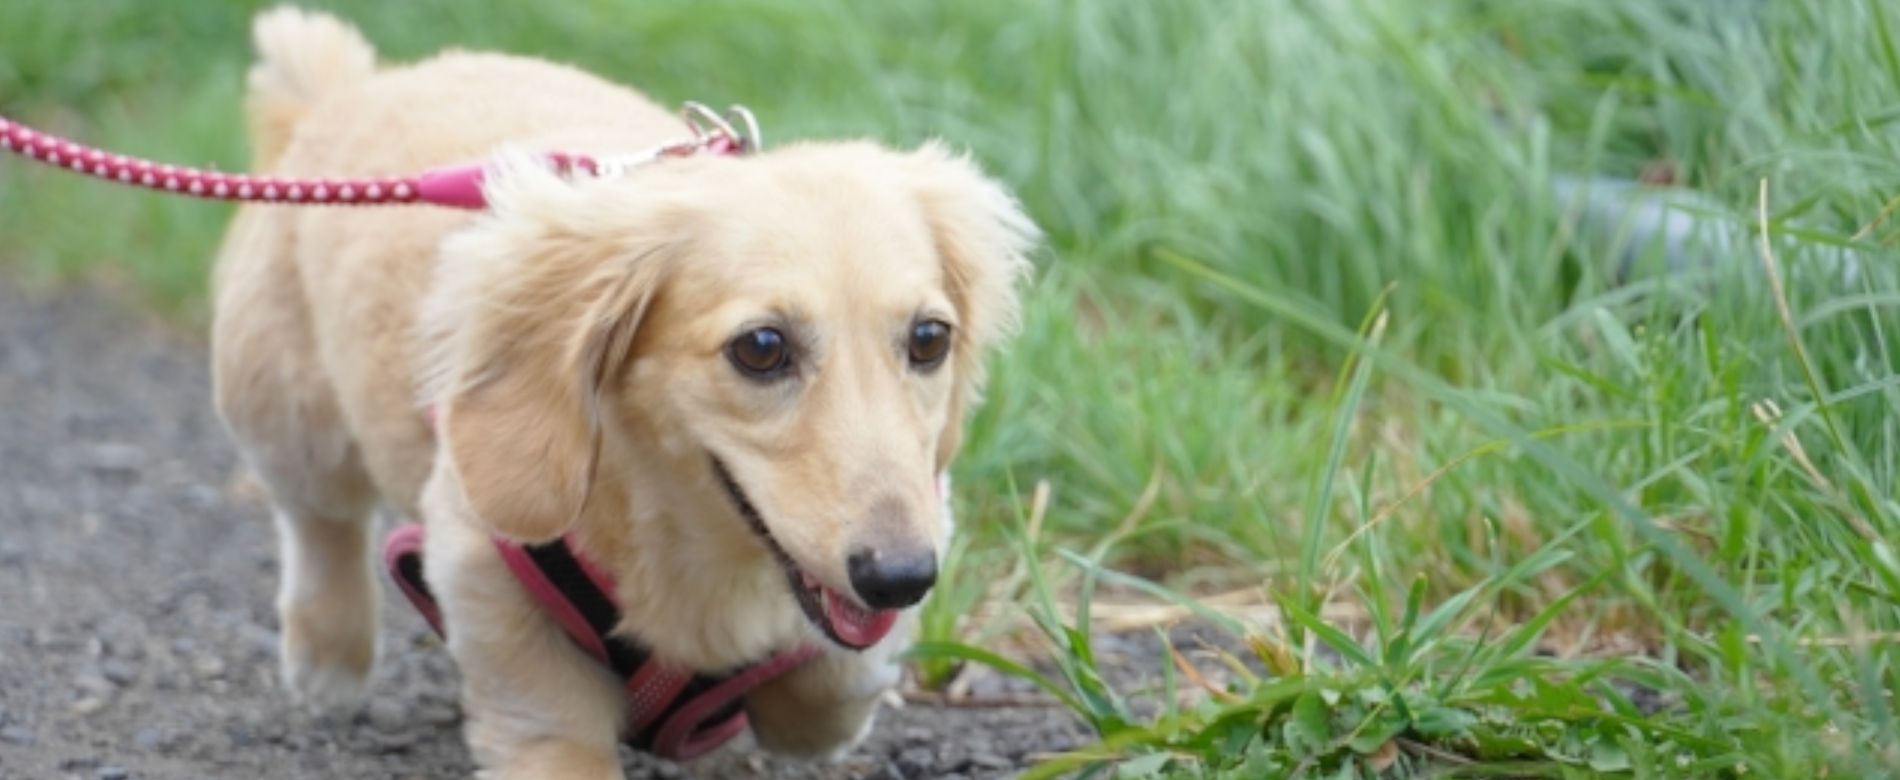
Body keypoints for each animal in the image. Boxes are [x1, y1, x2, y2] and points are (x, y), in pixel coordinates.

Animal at [211, 7, 1026, 780]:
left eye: (930, 339)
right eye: (761, 348)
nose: (901, 578)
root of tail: (343, 93)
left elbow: (831, 687)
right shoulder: (475, 555)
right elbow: (548, 714)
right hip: (287, 411)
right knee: (319, 522)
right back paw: (329, 656)